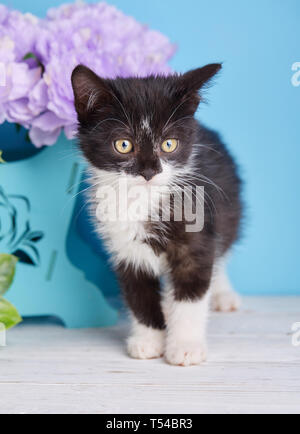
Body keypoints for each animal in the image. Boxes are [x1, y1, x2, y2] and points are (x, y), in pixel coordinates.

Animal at [71, 62, 243, 364]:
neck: (144, 200)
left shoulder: (196, 237)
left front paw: (185, 346)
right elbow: (138, 294)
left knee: (222, 249)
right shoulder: (125, 248)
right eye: (124, 145)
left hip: (229, 209)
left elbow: (192, 292)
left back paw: (223, 294)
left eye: (169, 144)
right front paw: (149, 340)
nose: (149, 172)